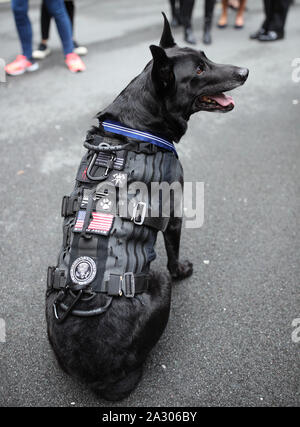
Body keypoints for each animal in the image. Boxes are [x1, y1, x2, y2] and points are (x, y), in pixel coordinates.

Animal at [46, 13, 248, 402]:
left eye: (206, 57)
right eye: (198, 70)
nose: (245, 71)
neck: (137, 124)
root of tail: (95, 374)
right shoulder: (173, 213)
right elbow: (173, 249)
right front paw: (183, 268)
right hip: (157, 280)